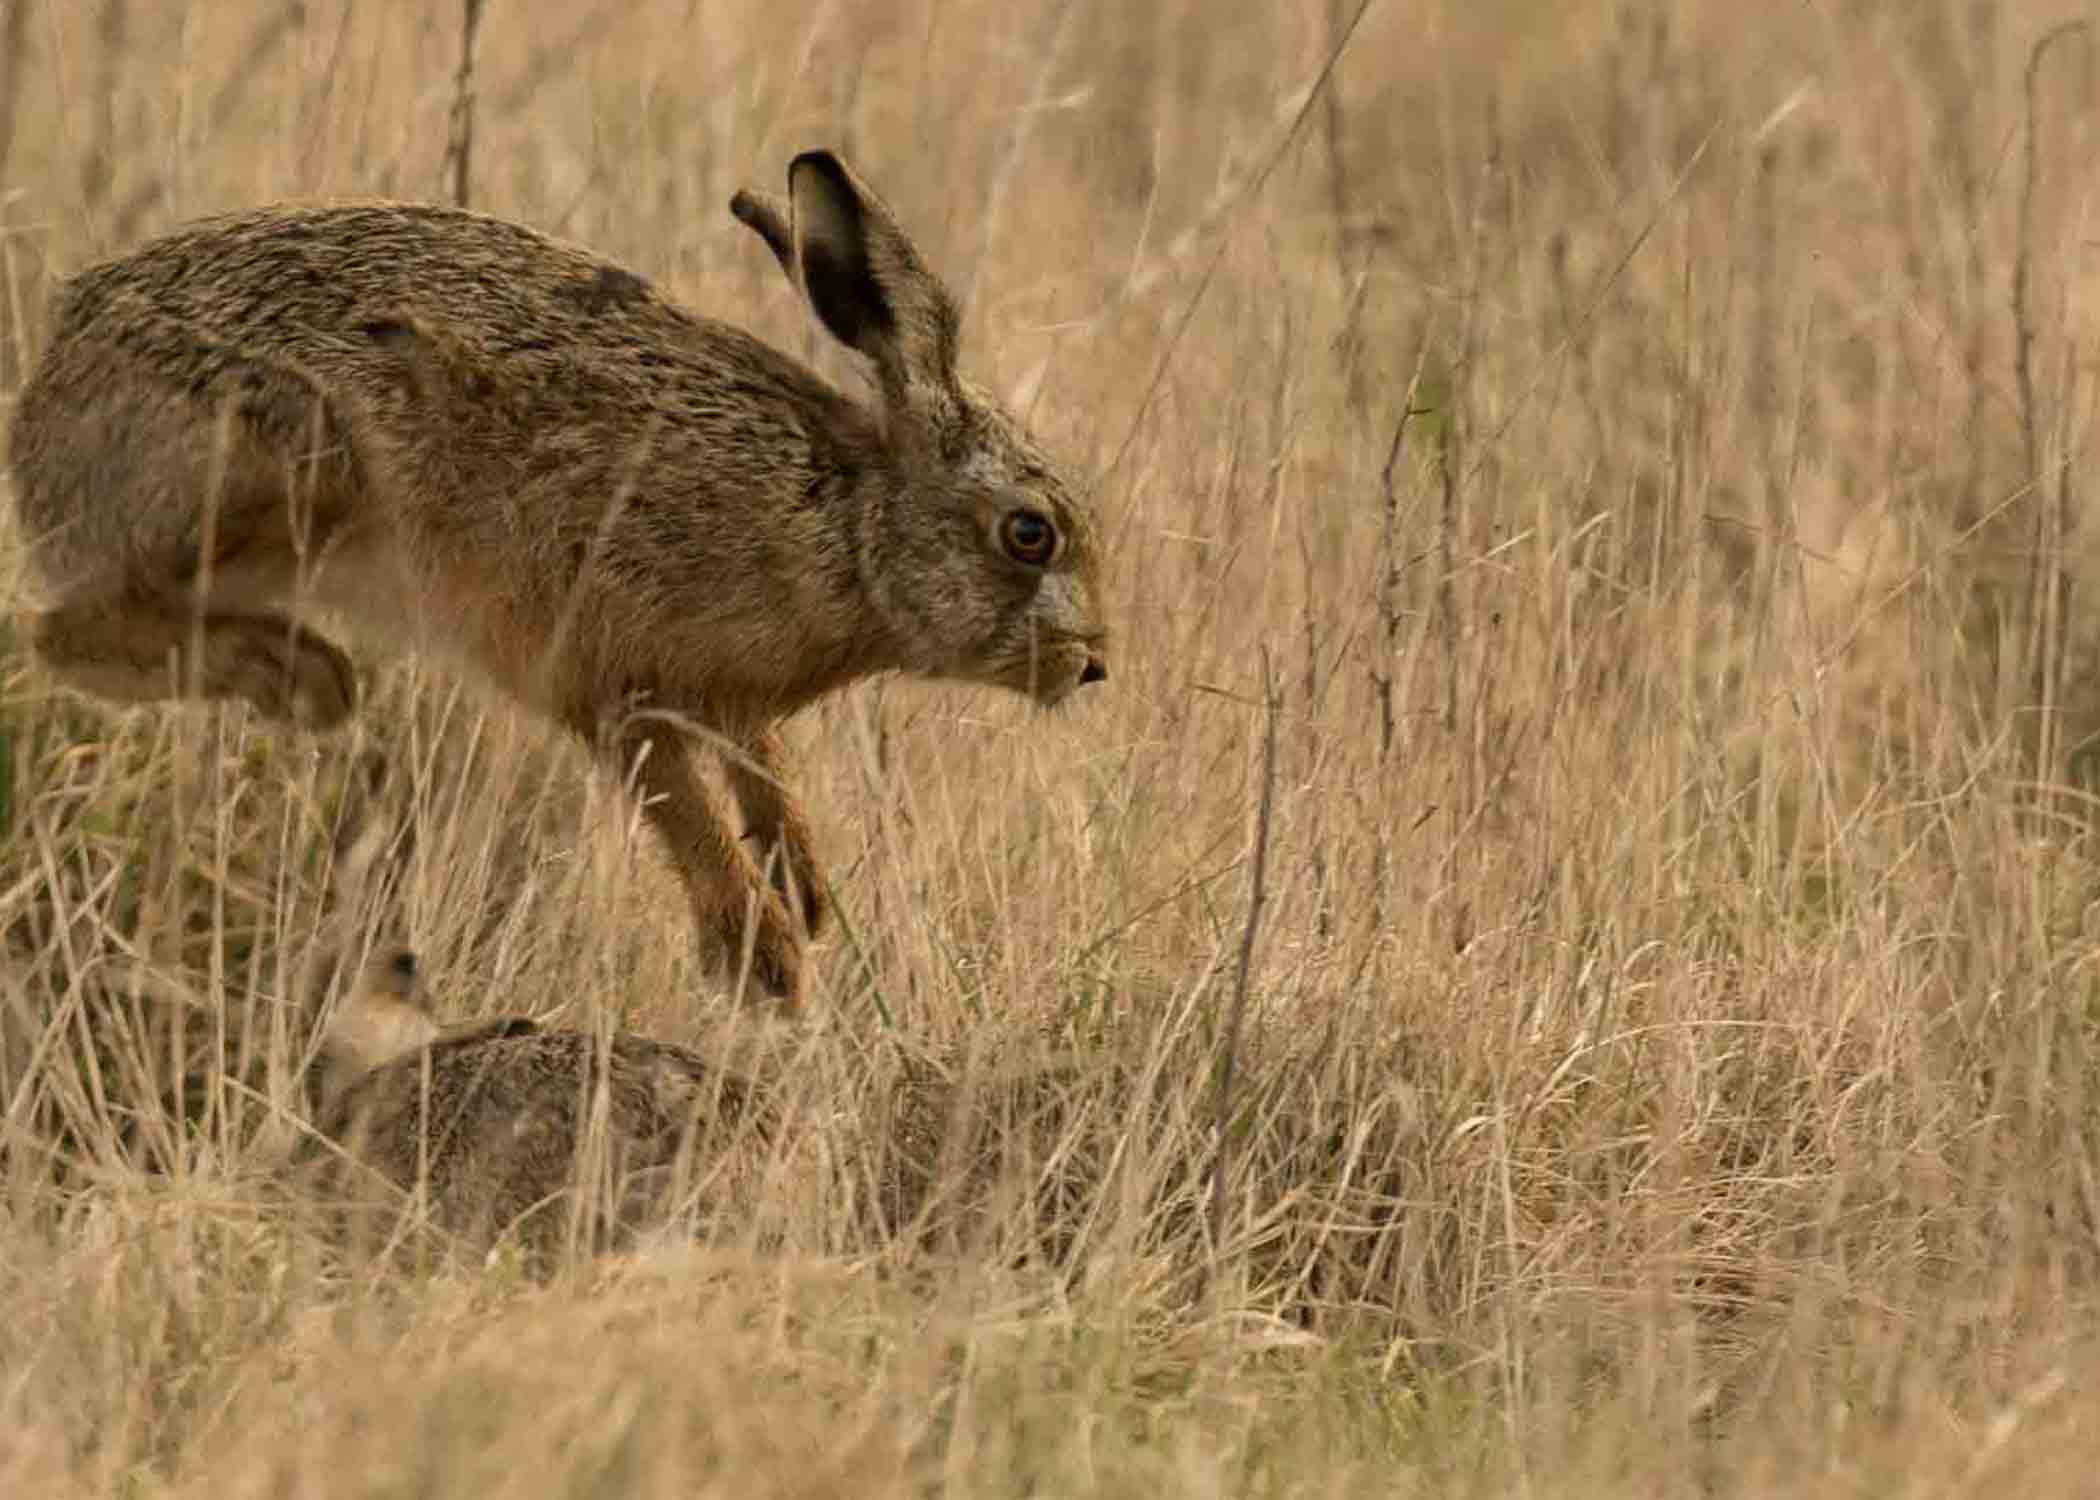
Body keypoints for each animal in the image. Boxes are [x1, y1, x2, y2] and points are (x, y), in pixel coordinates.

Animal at [7, 149, 1111, 1011]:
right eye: (1030, 535)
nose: (1093, 663)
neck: (844, 523)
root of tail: (52, 387)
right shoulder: (609, 678)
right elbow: (679, 805)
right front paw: (764, 964)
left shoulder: (732, 703)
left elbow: (761, 773)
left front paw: (801, 894)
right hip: (292, 460)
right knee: (68, 633)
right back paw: (303, 678)